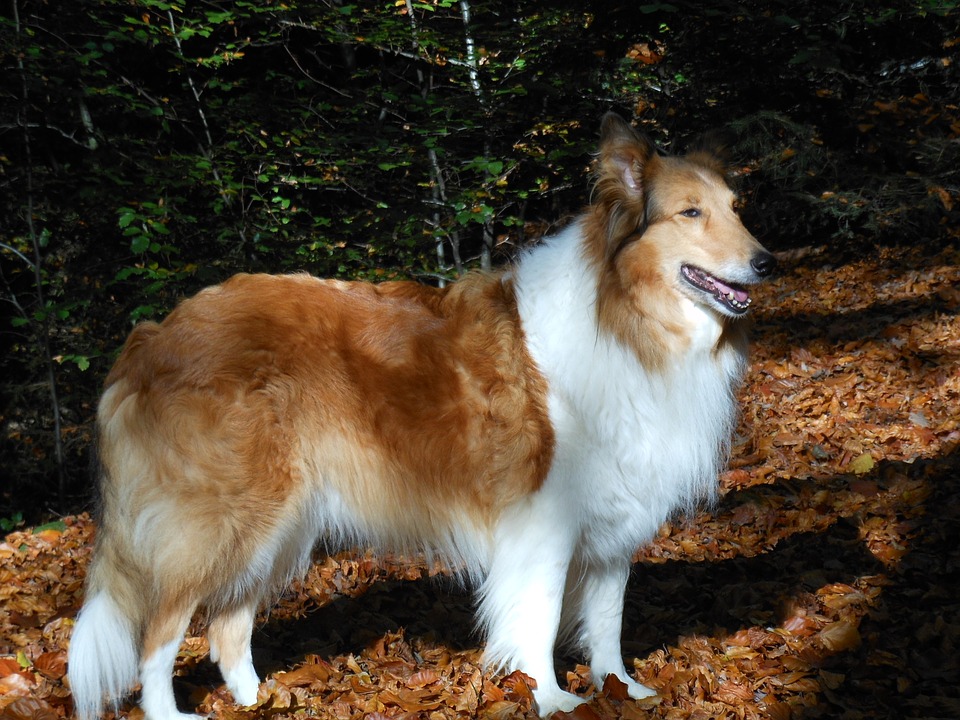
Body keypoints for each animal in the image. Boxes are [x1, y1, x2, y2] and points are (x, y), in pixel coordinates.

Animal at [65, 115, 772, 716]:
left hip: (277, 522)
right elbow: (540, 615)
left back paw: (260, 701)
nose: (767, 262)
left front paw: (620, 688)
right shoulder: (543, 517)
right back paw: (172, 711)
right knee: (158, 634)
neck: (622, 317)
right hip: (220, 520)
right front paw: (552, 698)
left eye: (737, 209)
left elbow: (606, 621)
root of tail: (149, 336)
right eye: (690, 212)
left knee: (226, 627)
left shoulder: (613, 512)